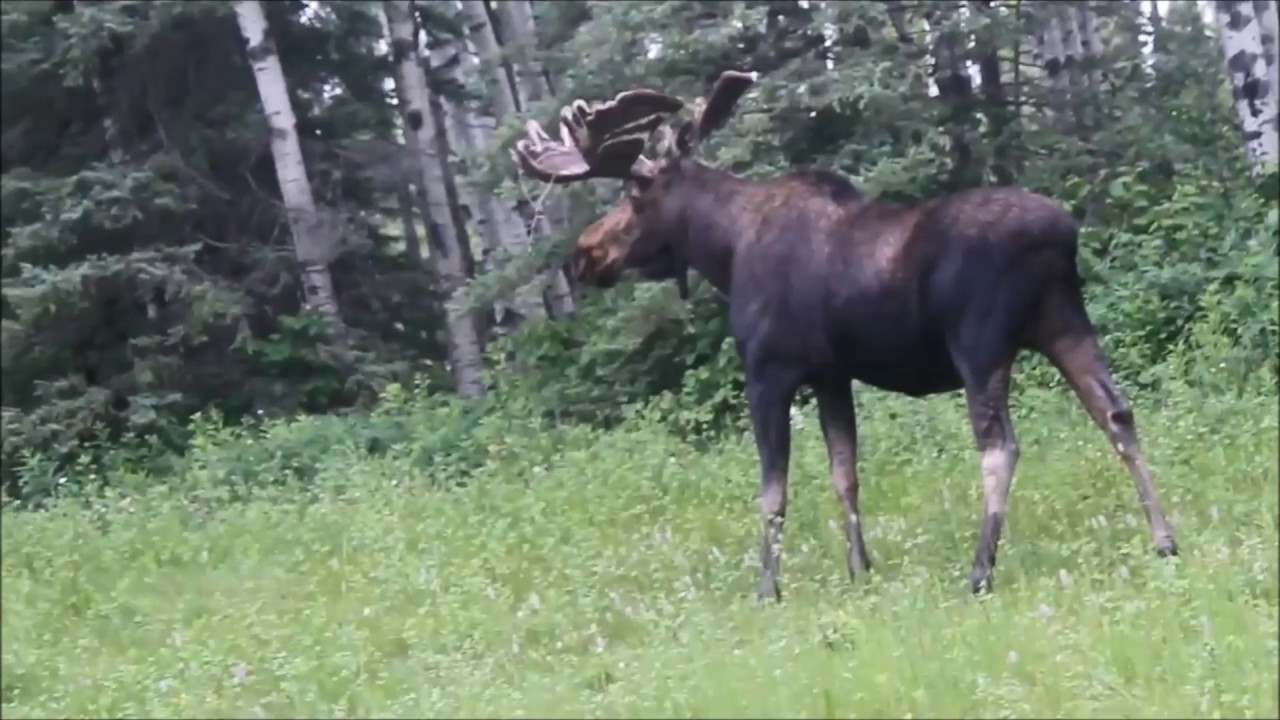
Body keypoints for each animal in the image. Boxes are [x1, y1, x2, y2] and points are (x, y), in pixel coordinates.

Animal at [512, 70, 1180, 601]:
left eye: (633, 192)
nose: (584, 255)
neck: (724, 251)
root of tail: (1061, 234)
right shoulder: (832, 374)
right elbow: (844, 473)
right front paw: (860, 571)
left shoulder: (768, 372)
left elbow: (773, 492)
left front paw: (768, 587)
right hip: (1063, 323)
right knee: (1117, 413)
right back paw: (1165, 538)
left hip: (980, 344)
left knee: (1001, 446)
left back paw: (980, 570)